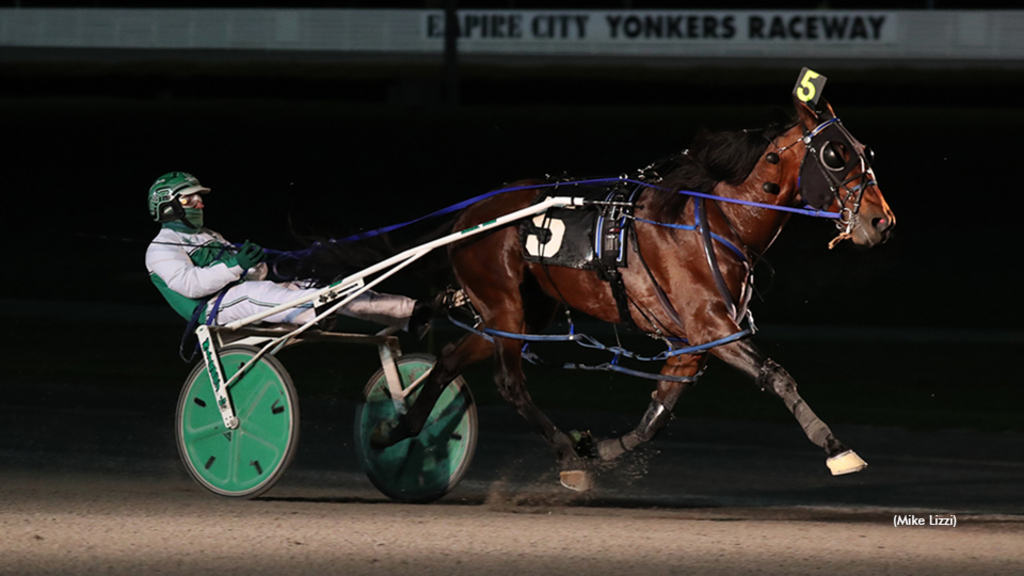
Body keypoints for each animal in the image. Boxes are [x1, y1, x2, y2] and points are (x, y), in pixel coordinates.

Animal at [370, 86, 897, 487]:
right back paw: (564, 455)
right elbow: (777, 376)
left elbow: (657, 415)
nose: (882, 221)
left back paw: (399, 431)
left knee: (449, 359)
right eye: (835, 155)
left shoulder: (692, 341)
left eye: (864, 151)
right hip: (505, 308)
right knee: (509, 382)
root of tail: (471, 215)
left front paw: (599, 447)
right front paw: (836, 447)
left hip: (520, 312)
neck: (717, 219)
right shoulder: (712, 326)